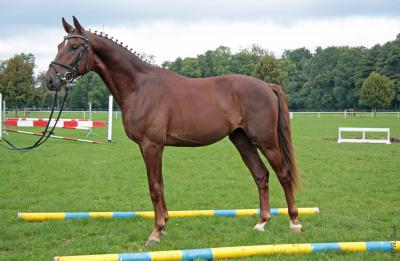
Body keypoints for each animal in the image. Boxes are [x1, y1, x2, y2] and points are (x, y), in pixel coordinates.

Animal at [45, 16, 302, 246]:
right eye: (59, 46)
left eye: (74, 47)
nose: (50, 80)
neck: (139, 86)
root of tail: (266, 85)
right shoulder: (149, 147)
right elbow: (159, 184)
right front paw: (164, 226)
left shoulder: (152, 145)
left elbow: (155, 187)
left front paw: (155, 232)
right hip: (242, 140)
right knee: (261, 175)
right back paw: (261, 222)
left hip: (265, 141)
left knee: (283, 173)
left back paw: (294, 222)